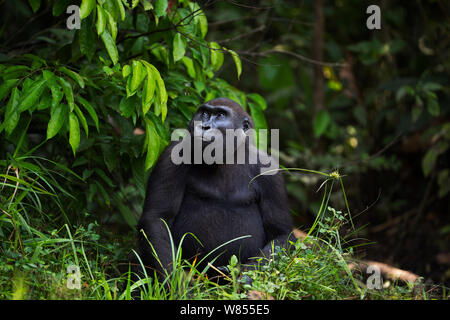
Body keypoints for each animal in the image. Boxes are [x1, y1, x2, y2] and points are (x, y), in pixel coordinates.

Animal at [131, 97, 296, 280]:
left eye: (220, 115)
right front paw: (176, 283)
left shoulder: (270, 170)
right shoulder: (171, 156)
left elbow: (281, 234)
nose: (204, 126)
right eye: (204, 113)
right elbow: (157, 218)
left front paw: (243, 280)